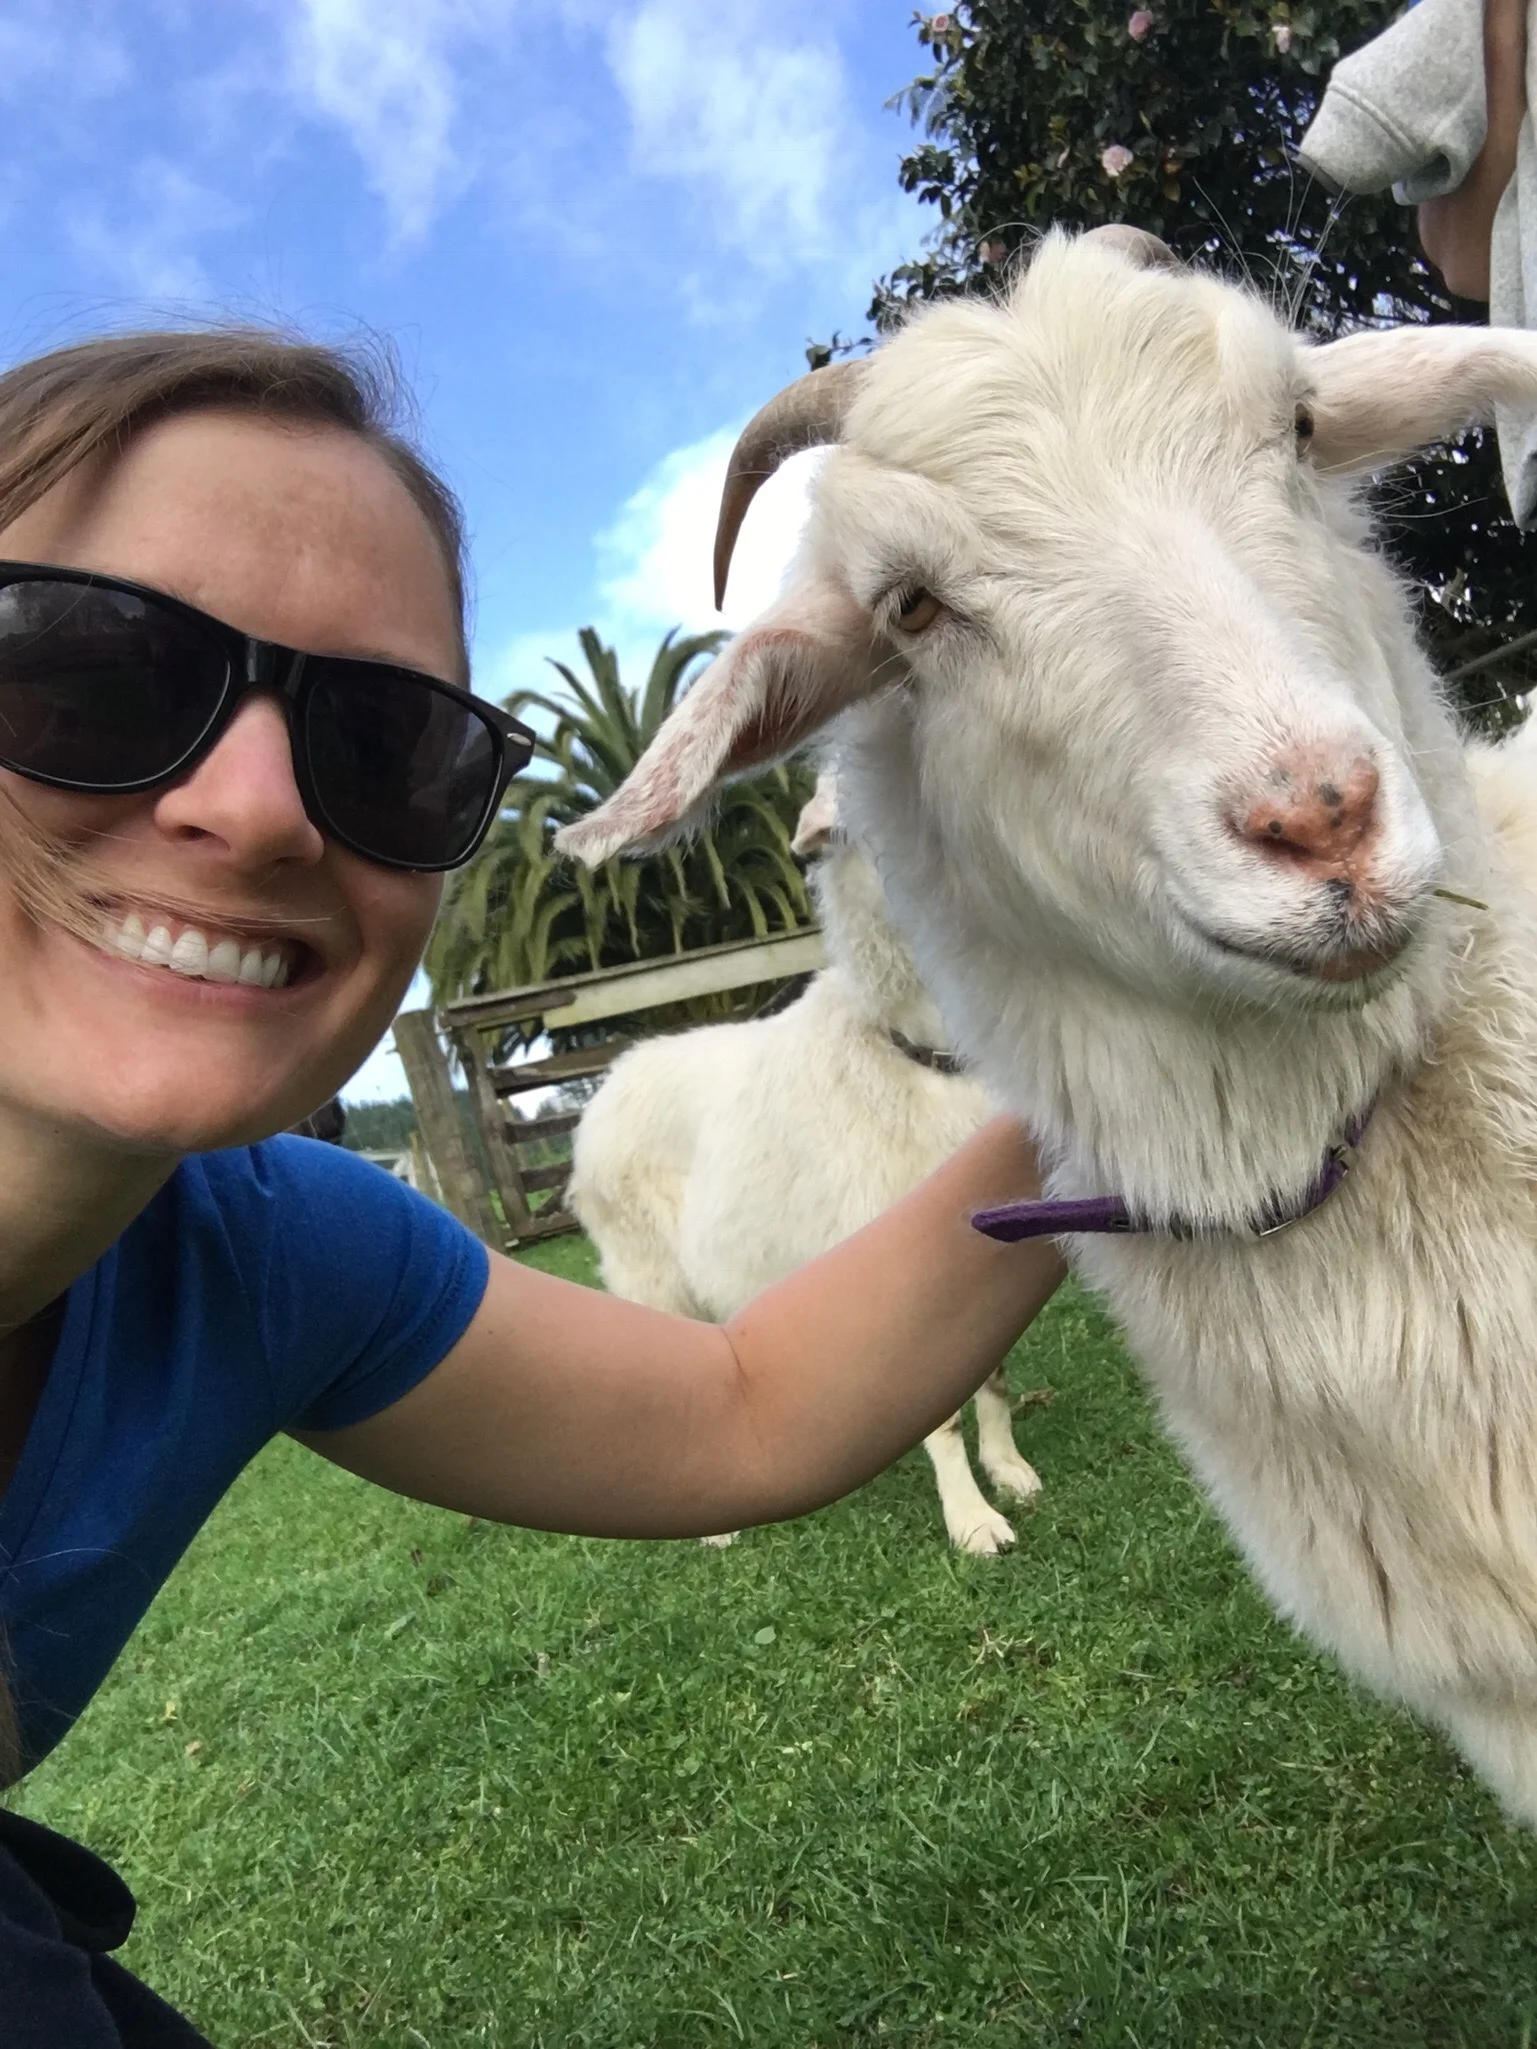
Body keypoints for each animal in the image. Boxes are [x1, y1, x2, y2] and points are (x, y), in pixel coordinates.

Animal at [567, 774, 1041, 1555]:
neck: (915, 1054)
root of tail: (613, 1078)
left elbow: (993, 1375)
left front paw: (1006, 1469)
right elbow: (939, 1416)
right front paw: (972, 1523)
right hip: (650, 1275)